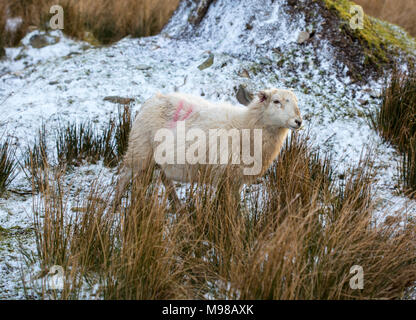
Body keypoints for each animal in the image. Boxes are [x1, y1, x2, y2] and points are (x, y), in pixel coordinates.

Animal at [114, 89, 302, 206]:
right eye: (276, 101)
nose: (298, 121)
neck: (245, 127)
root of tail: (152, 99)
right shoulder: (226, 177)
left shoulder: (234, 180)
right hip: (139, 150)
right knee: (123, 177)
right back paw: (114, 206)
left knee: (165, 180)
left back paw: (178, 207)